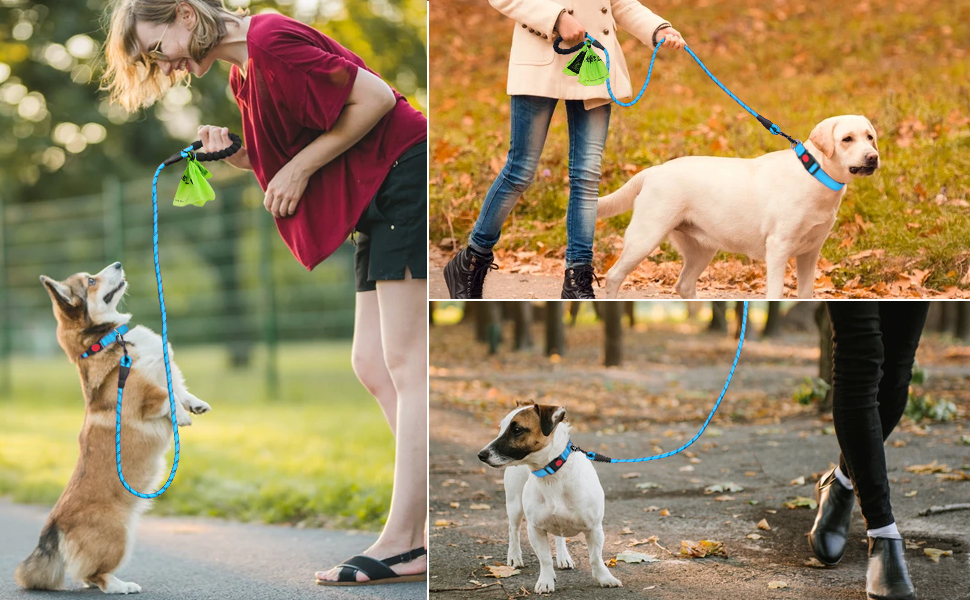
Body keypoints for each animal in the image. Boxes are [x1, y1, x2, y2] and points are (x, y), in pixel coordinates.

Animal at [17, 264, 210, 596]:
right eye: (92, 281)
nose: (118, 264)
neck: (109, 339)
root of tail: (54, 526)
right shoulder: (143, 397)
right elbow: (166, 395)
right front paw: (182, 416)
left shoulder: (167, 375)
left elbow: (180, 389)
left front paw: (195, 405)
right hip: (119, 537)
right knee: (97, 576)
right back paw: (123, 585)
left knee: (88, 576)